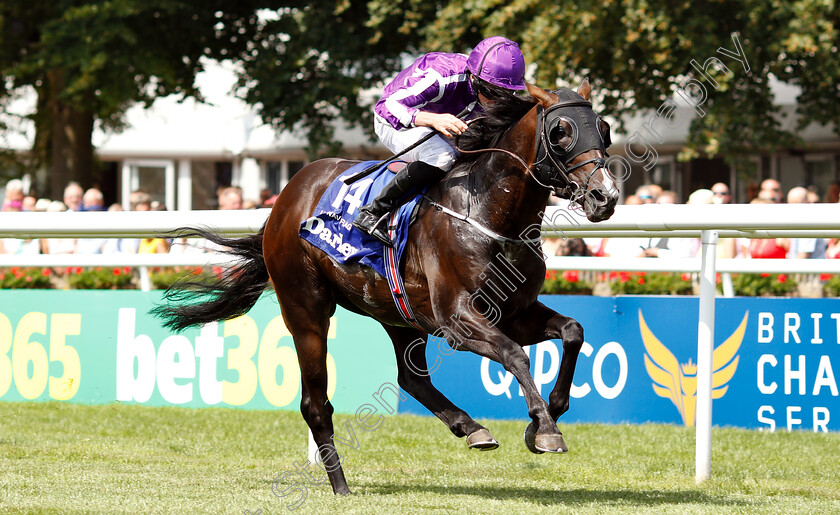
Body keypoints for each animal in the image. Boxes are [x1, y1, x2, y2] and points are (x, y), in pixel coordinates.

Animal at [154, 81, 620, 496]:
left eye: (605, 128)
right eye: (561, 132)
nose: (606, 196)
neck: (487, 212)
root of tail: (285, 198)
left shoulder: (515, 311)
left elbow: (573, 331)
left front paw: (546, 416)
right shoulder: (458, 319)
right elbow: (515, 354)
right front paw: (546, 429)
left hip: (398, 314)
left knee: (410, 378)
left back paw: (470, 427)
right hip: (306, 310)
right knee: (315, 404)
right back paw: (340, 485)